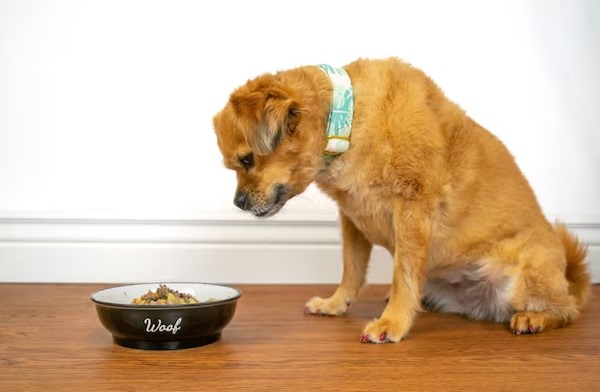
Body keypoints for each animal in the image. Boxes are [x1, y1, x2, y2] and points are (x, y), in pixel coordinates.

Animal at [212, 56, 592, 342]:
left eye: (247, 160)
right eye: (235, 165)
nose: (238, 203)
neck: (349, 121)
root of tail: (569, 277)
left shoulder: (412, 209)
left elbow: (403, 275)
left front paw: (392, 322)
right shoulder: (351, 220)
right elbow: (352, 270)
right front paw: (336, 303)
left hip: (525, 280)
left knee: (569, 309)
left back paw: (535, 318)